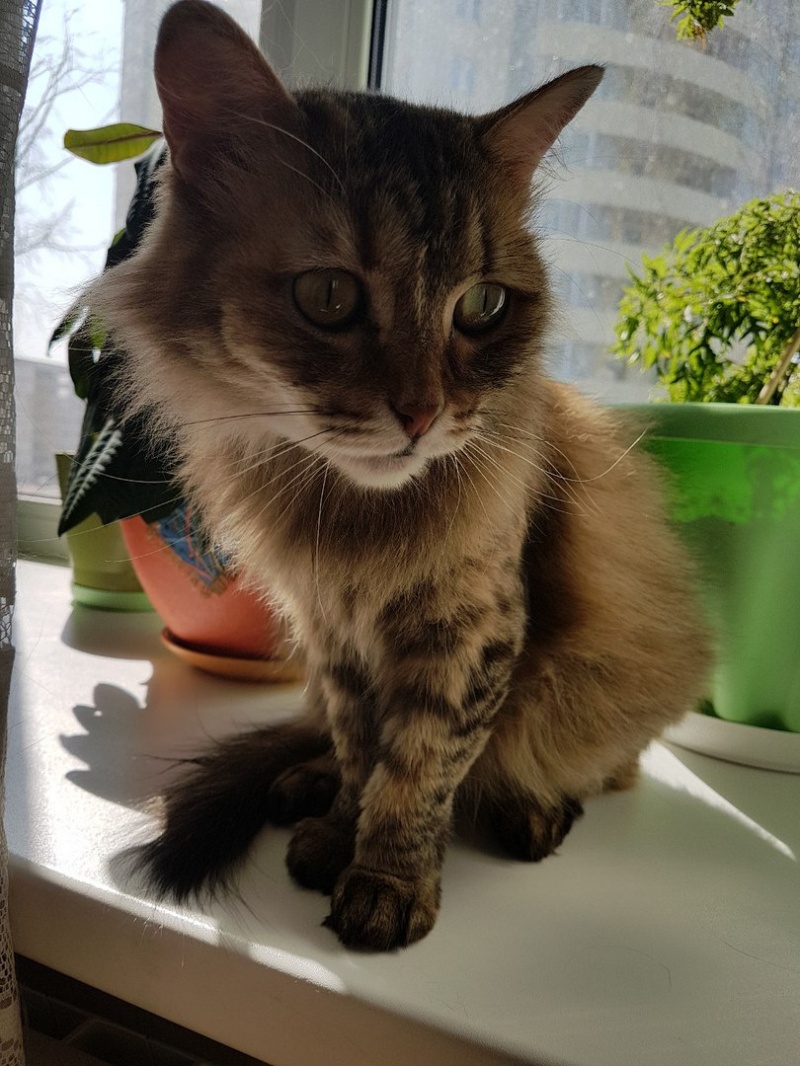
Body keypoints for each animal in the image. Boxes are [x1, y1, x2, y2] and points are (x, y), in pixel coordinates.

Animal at [91, 0, 711, 951]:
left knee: (601, 764)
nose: (422, 414)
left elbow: (419, 769)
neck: (351, 520)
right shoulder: (335, 638)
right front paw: (338, 827)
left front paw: (387, 881)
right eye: (329, 296)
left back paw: (536, 807)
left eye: (483, 307)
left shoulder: (471, 631)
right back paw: (303, 784)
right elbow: (361, 749)